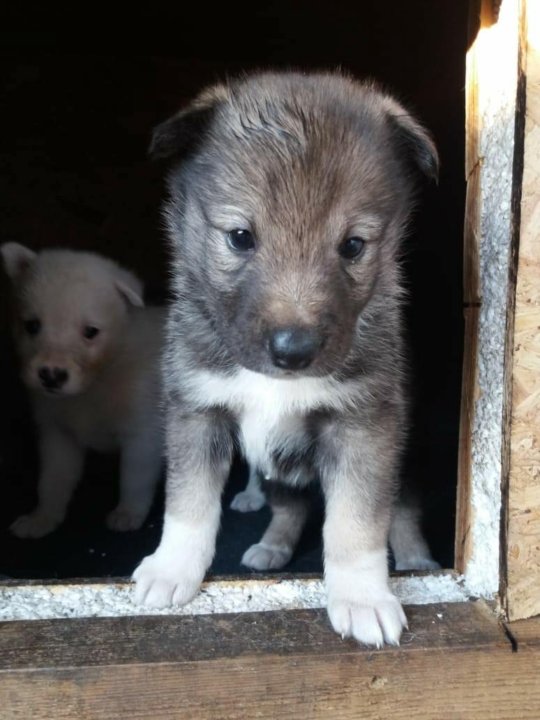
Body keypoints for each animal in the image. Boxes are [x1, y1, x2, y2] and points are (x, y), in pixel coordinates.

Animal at [1, 245, 165, 536]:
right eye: (32, 325)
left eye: (91, 331)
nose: (51, 375)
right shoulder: (58, 434)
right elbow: (53, 480)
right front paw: (42, 518)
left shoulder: (143, 432)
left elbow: (135, 478)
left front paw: (128, 513)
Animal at [133, 73, 440, 648]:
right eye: (239, 237)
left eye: (353, 246)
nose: (294, 351)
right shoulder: (196, 410)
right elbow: (188, 503)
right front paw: (171, 568)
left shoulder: (366, 426)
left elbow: (357, 521)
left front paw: (362, 598)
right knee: (289, 504)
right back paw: (273, 545)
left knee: (404, 509)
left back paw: (415, 558)